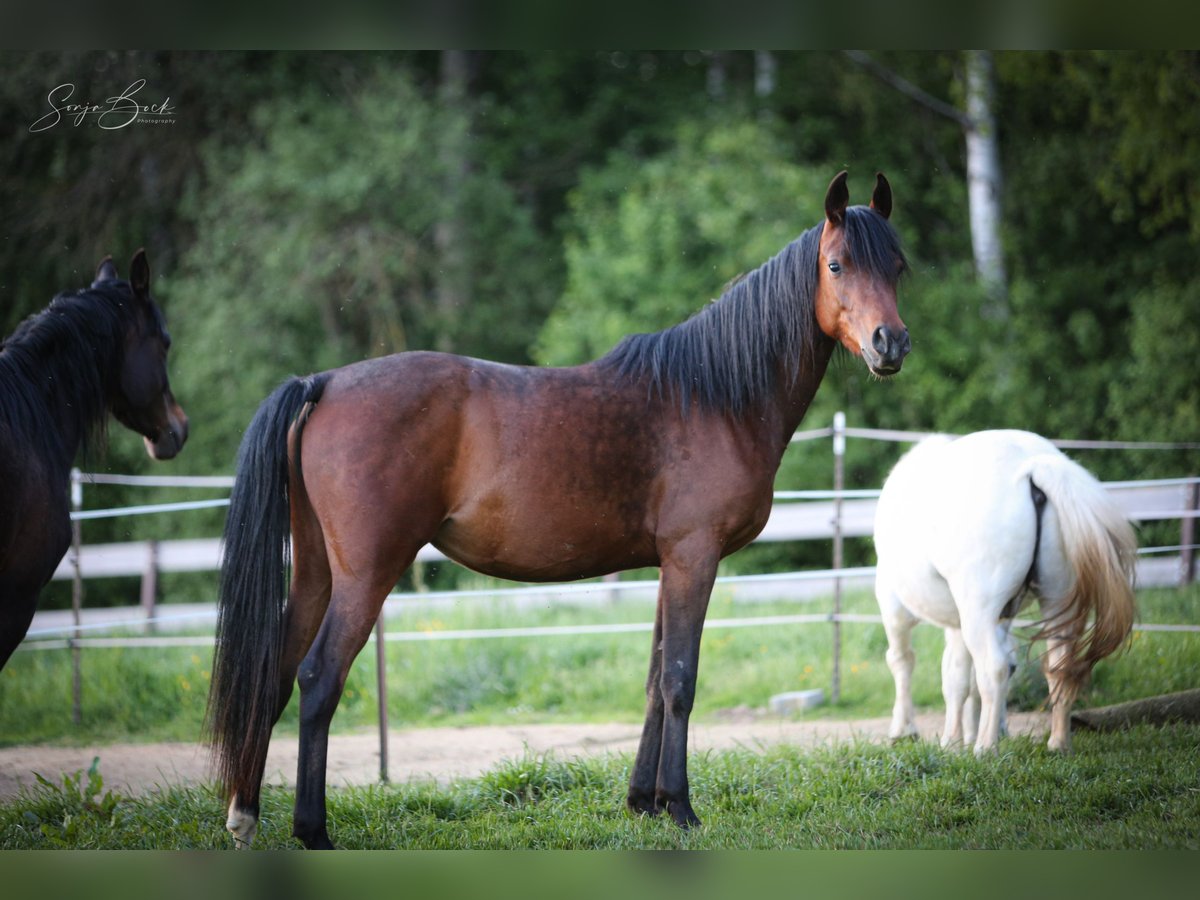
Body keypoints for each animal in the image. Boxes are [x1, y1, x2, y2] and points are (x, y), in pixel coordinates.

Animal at [211, 170, 912, 854]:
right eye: (836, 265)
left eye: (898, 265)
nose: (891, 344)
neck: (714, 398)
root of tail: (324, 382)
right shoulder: (695, 556)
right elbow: (680, 680)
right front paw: (681, 809)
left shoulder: (668, 564)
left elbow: (654, 680)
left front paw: (643, 802)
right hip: (366, 576)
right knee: (318, 679)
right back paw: (313, 831)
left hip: (316, 573)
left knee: (275, 675)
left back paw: (245, 817)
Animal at [873, 434, 1132, 758]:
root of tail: (1034, 465)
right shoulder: (971, 621)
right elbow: (960, 678)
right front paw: (956, 740)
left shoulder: (894, 606)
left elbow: (905, 661)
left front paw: (908, 731)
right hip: (1057, 599)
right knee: (1058, 666)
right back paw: (1057, 743)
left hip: (977, 609)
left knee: (993, 669)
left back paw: (985, 747)